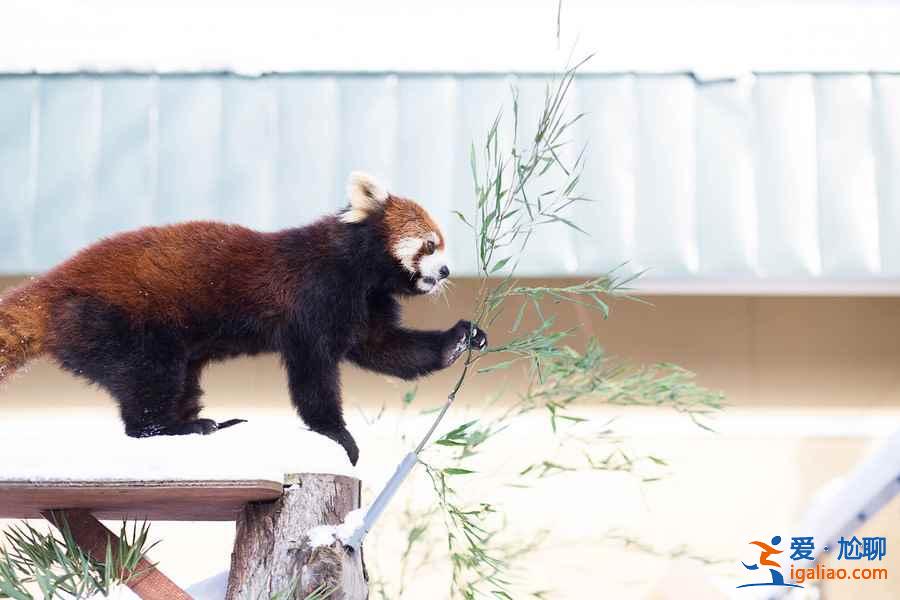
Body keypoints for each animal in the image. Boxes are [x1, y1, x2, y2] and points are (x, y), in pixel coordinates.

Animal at [0, 172, 486, 464]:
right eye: (429, 245)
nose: (445, 272)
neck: (359, 271)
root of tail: (50, 283)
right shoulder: (315, 297)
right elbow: (314, 373)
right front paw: (335, 434)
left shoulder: (367, 306)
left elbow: (386, 349)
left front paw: (460, 339)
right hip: (116, 320)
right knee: (146, 383)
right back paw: (173, 428)